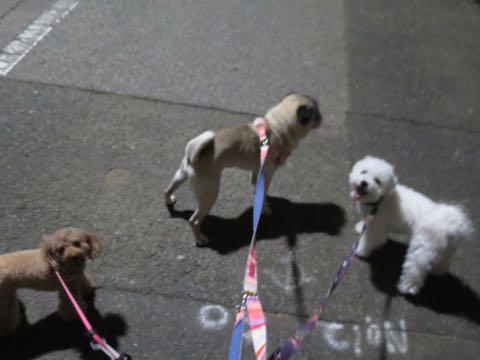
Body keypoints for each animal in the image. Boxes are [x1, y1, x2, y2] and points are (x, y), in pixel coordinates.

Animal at [348, 156, 472, 294]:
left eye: (377, 181)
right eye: (363, 172)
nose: (364, 183)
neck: (380, 200)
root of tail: (450, 224)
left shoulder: (377, 227)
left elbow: (370, 240)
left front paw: (360, 251)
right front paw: (360, 228)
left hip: (422, 248)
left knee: (416, 269)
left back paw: (407, 287)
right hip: (445, 249)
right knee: (442, 262)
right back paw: (438, 272)